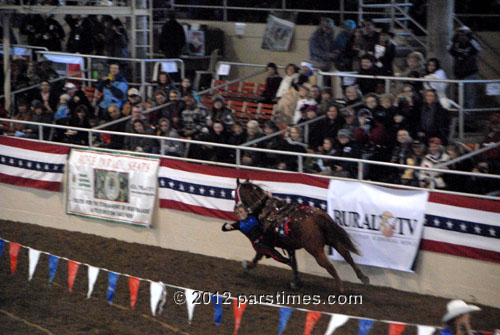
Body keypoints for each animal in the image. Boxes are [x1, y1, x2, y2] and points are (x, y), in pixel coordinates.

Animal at [233, 180, 368, 292]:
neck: (264, 210)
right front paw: (296, 282)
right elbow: (293, 263)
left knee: (329, 266)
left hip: (315, 250)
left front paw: (247, 265)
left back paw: (341, 288)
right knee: (347, 255)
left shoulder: (265, 243)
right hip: (333, 240)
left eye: (236, 194)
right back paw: (363, 277)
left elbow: (259, 255)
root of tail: (316, 216)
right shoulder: (288, 246)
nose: (237, 209)